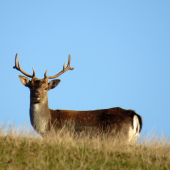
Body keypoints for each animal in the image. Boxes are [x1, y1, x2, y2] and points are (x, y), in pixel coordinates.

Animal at [13, 53, 142, 143]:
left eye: (46, 88)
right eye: (30, 87)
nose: (36, 94)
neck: (46, 127)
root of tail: (134, 115)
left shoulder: (61, 136)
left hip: (119, 137)